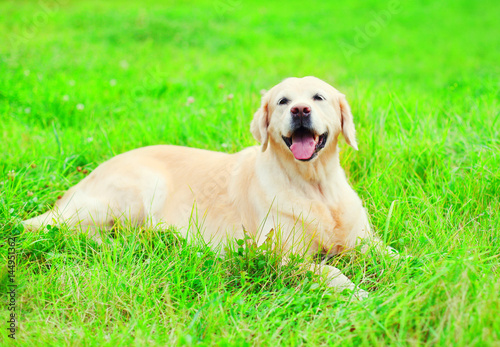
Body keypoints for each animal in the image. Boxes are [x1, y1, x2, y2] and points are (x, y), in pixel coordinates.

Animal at [23, 76, 396, 300]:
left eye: (318, 97)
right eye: (282, 100)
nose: (300, 110)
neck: (314, 185)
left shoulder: (367, 241)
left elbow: (395, 255)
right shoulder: (277, 255)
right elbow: (330, 270)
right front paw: (361, 295)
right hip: (139, 188)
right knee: (74, 230)